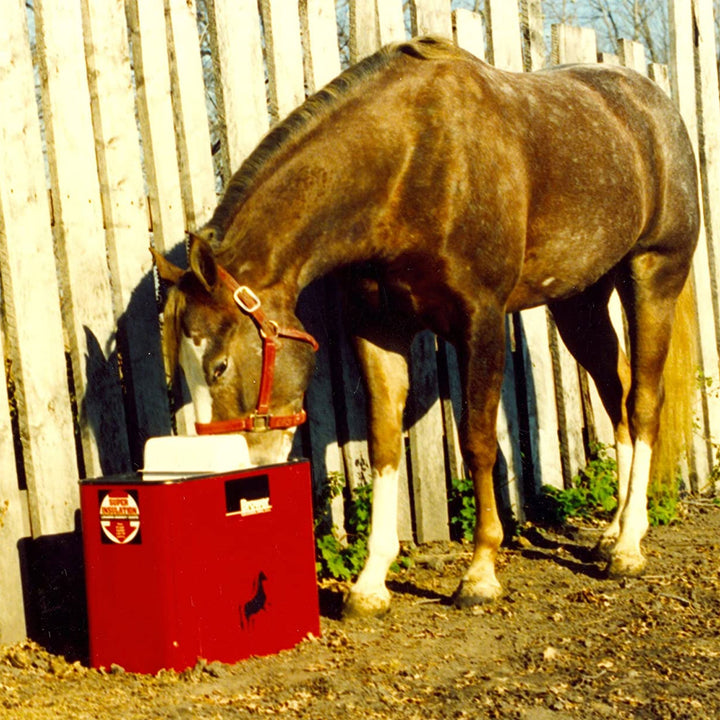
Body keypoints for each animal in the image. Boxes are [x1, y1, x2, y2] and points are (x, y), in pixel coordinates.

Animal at [152, 36, 696, 616]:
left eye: (219, 364)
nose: (228, 470)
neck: (410, 163)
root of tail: (655, 110)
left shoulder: (480, 322)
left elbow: (478, 442)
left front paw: (480, 572)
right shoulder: (379, 330)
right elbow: (385, 444)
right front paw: (370, 583)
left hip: (652, 276)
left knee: (643, 402)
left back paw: (630, 545)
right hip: (580, 302)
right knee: (617, 395)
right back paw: (613, 531)